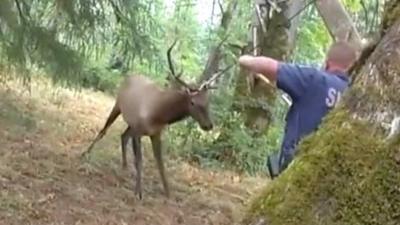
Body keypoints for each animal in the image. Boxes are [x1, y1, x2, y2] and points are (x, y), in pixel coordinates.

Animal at [79, 39, 230, 200]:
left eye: (208, 101)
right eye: (193, 102)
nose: (208, 125)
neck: (159, 114)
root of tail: (130, 76)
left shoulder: (155, 133)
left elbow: (160, 162)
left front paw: (168, 191)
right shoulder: (138, 131)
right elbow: (139, 161)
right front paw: (138, 191)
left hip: (131, 123)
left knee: (123, 136)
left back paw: (124, 165)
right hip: (118, 106)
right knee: (104, 130)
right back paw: (85, 153)